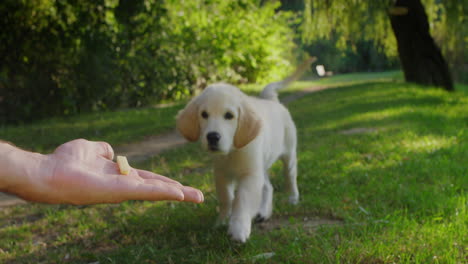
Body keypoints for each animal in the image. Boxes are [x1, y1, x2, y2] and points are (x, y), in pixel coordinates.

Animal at [176, 58, 314, 243]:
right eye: (204, 114)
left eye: (229, 115)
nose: (212, 137)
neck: (232, 152)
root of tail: (272, 100)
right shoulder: (222, 174)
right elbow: (226, 199)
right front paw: (222, 221)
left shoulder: (250, 175)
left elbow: (242, 200)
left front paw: (238, 228)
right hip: (261, 166)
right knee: (268, 187)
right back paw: (263, 212)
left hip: (288, 155)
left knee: (289, 177)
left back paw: (293, 198)